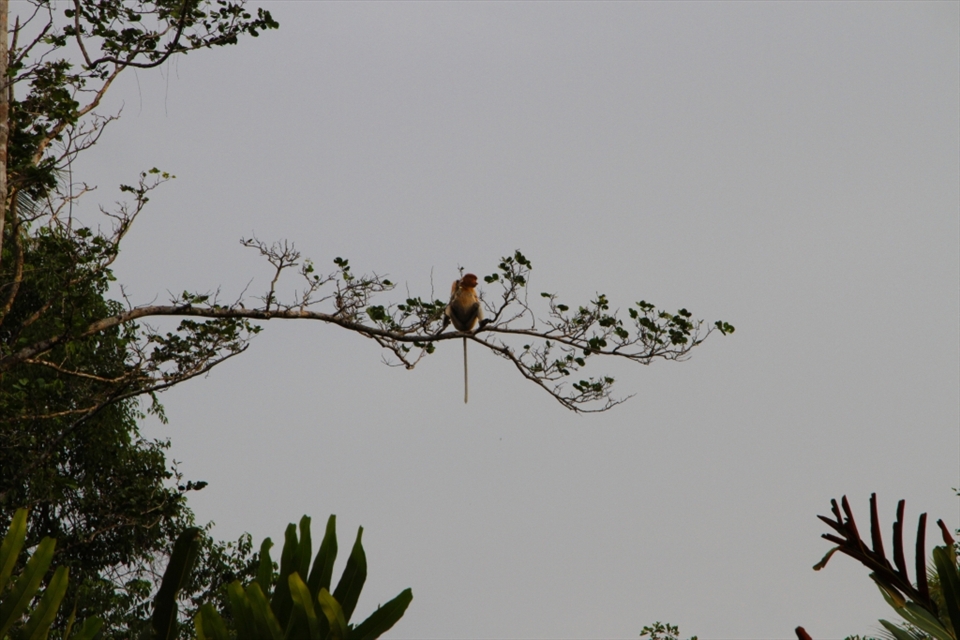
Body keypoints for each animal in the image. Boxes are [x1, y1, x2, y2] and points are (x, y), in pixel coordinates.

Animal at [442, 273, 485, 404]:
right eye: (474, 278)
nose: (477, 282)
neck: (465, 287)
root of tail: (464, 329)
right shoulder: (455, 285)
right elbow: (451, 298)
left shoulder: (474, 290)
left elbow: (476, 300)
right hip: (458, 324)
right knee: (450, 306)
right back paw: (445, 323)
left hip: (470, 323)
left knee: (476, 304)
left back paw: (483, 324)